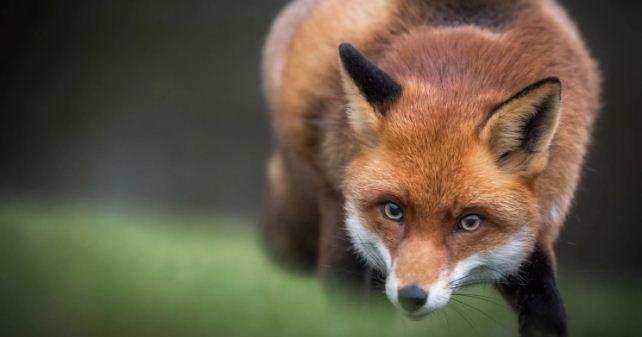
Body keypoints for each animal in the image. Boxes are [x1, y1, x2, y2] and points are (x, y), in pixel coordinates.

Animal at [258, 0, 596, 334]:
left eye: (470, 222)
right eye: (393, 210)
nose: (411, 297)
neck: (459, 67)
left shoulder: (534, 233)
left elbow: (546, 308)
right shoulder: (342, 224)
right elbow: (347, 311)